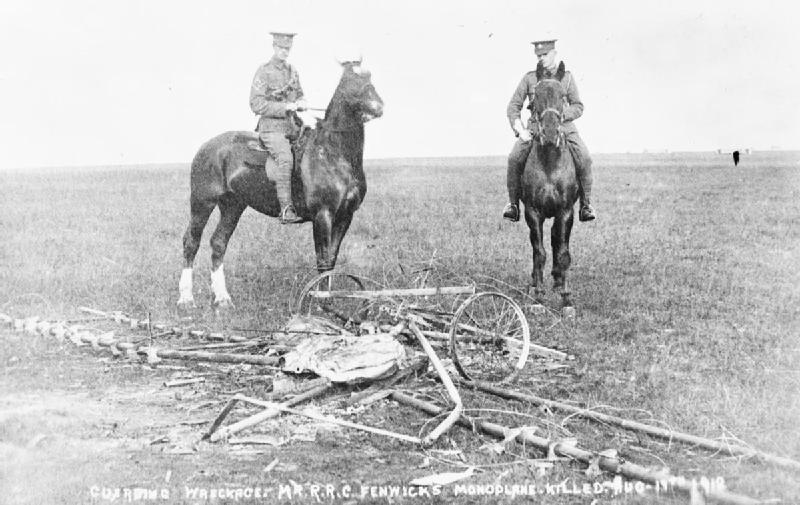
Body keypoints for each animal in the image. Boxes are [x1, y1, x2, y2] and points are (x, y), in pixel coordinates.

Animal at [178, 63, 384, 308]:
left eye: (370, 77)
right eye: (349, 81)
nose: (378, 107)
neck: (333, 152)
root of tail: (206, 146)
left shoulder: (345, 216)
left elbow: (332, 259)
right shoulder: (322, 215)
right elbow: (323, 260)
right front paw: (321, 302)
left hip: (232, 205)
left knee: (218, 243)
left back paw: (222, 298)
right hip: (203, 202)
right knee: (191, 242)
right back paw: (186, 298)